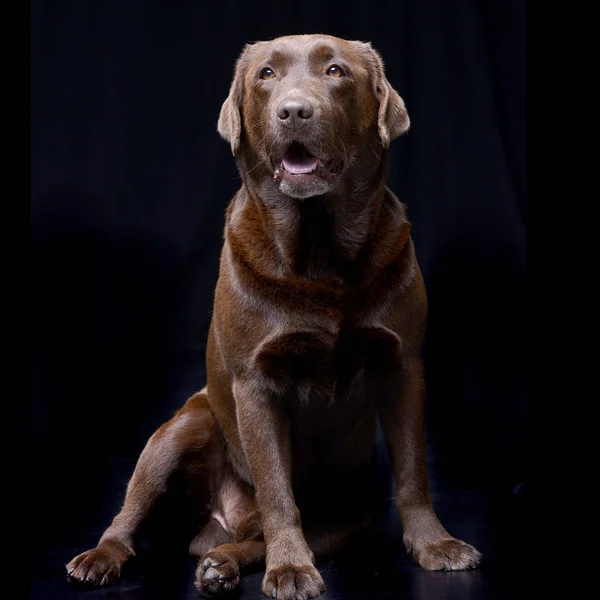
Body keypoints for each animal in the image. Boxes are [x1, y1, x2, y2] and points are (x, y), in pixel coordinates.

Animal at [65, 35, 480, 596]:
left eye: (336, 71)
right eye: (266, 75)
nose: (294, 111)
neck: (320, 254)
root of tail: (226, 520)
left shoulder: (404, 368)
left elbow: (414, 472)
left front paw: (435, 544)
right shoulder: (254, 384)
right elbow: (278, 490)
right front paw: (290, 569)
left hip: (344, 518)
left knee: (257, 537)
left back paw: (221, 563)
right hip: (180, 429)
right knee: (132, 513)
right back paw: (104, 556)